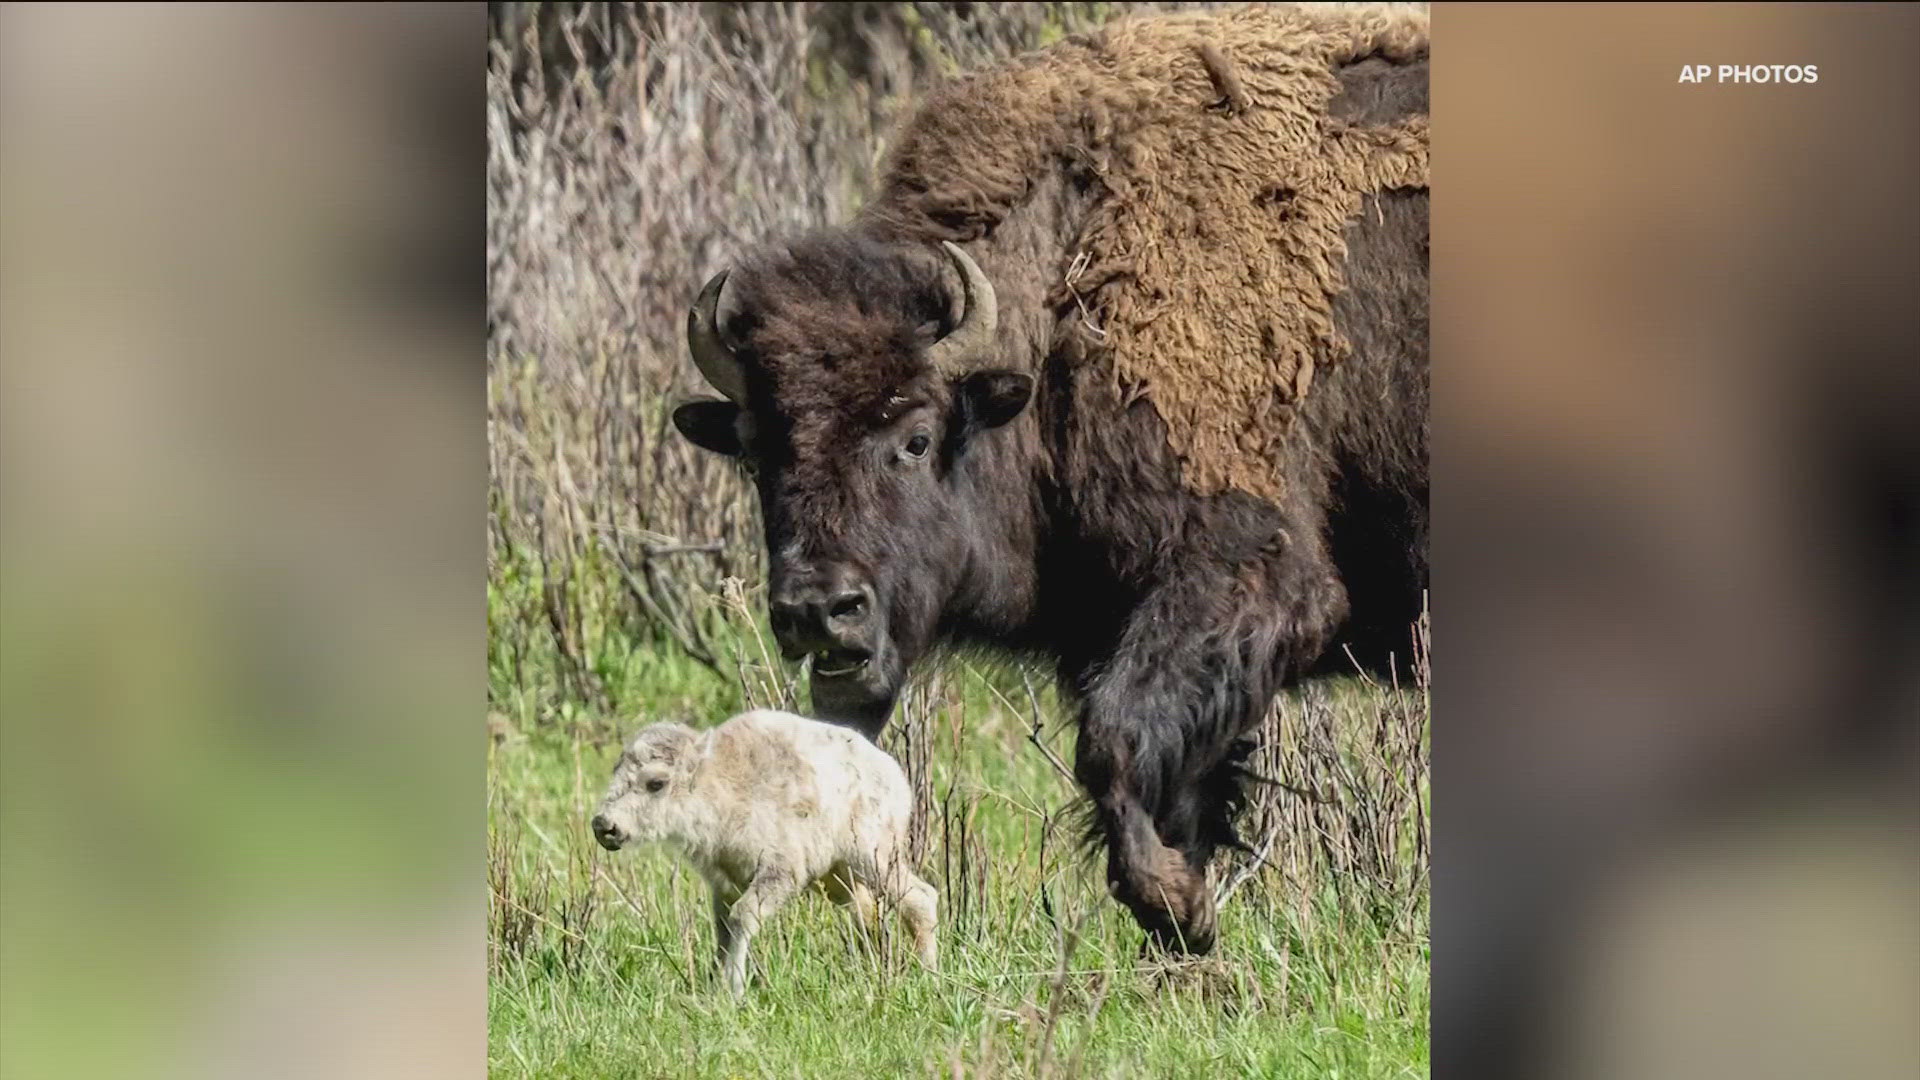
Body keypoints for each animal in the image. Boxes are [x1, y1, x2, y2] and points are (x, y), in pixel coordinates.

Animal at [591, 707, 936, 991]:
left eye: (656, 783)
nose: (604, 825)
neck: (721, 783)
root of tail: (894, 775)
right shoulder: (724, 884)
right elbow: (722, 930)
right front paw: (714, 984)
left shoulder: (779, 872)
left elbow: (742, 918)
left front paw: (734, 987)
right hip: (838, 878)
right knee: (866, 913)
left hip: (873, 858)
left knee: (920, 898)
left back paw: (926, 974)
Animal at [668, 6, 1420, 949]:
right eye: (755, 452)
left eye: (916, 437)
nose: (818, 610)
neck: (1069, 289)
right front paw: (1186, 918)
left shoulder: (1251, 576)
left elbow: (1113, 742)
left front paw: (1175, 902)